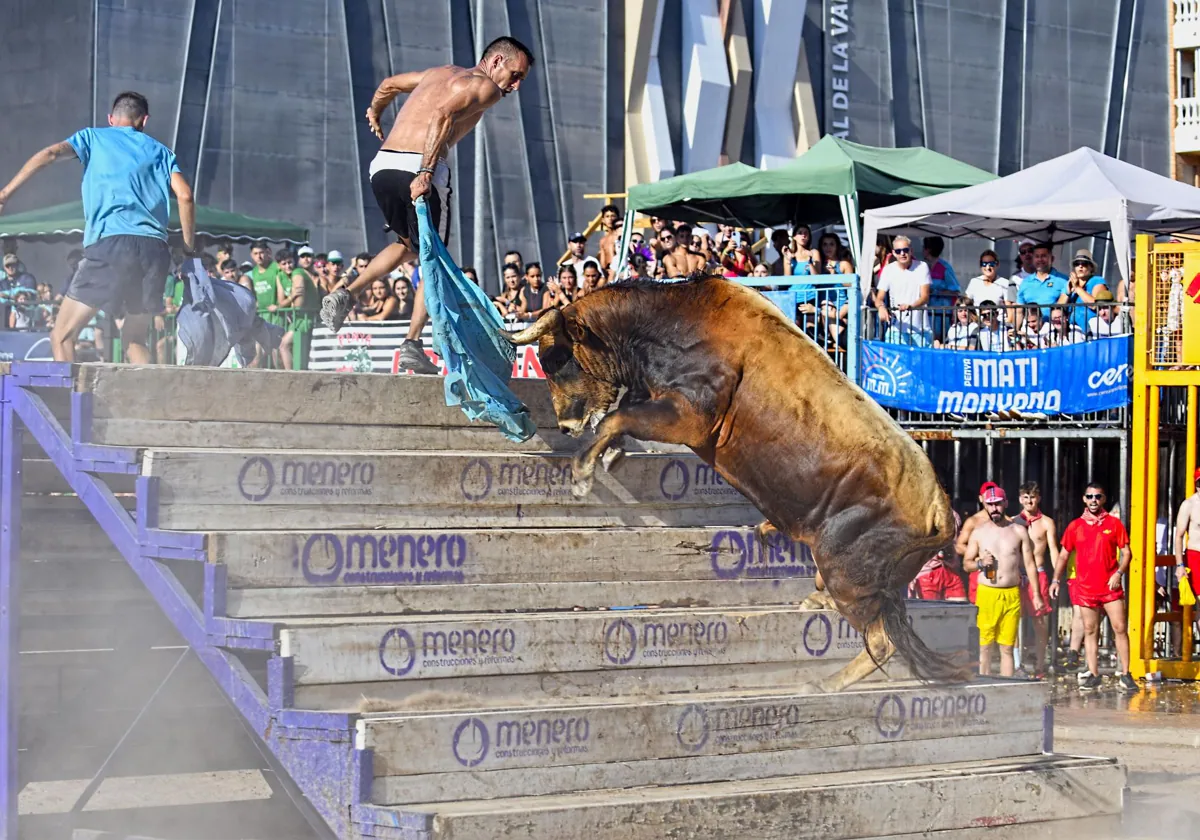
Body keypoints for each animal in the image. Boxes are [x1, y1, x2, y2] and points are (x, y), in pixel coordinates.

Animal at [504, 272, 964, 691]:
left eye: (558, 358)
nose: (565, 425)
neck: (673, 324)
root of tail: (940, 507)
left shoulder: (689, 417)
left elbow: (618, 418)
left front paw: (583, 471)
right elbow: (622, 418)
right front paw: (610, 454)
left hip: (847, 573)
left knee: (881, 641)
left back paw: (824, 684)